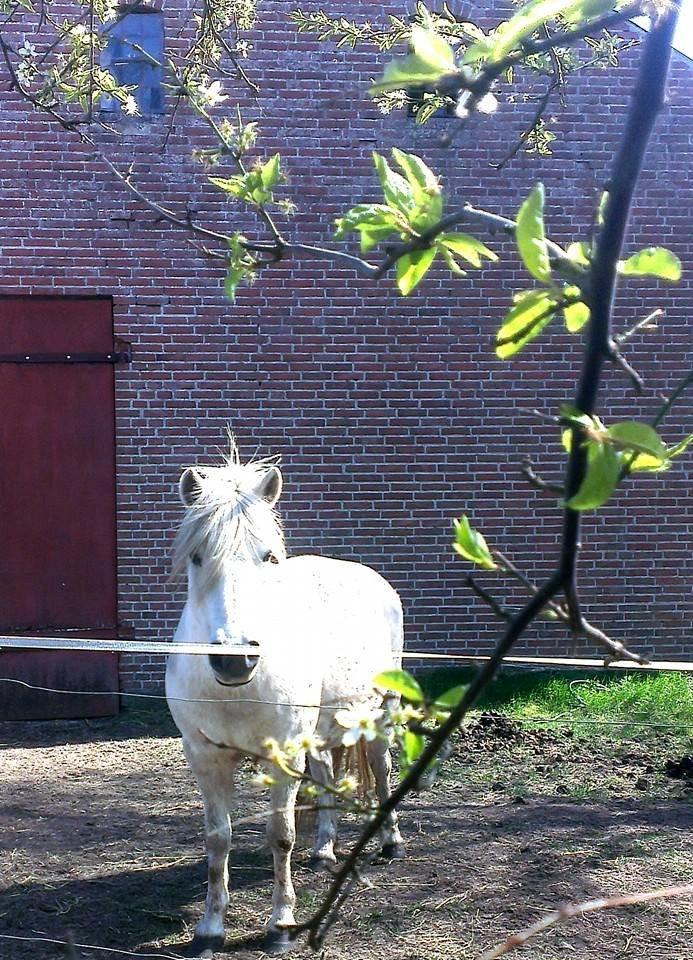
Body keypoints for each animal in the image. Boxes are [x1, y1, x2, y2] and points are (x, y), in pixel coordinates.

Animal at [166, 440, 406, 952]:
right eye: (197, 556)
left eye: (269, 557)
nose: (235, 659)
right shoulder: (205, 757)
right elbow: (218, 839)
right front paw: (210, 928)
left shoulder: (285, 754)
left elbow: (280, 834)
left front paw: (280, 924)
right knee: (328, 772)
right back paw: (324, 850)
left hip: (381, 715)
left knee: (381, 769)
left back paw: (391, 842)